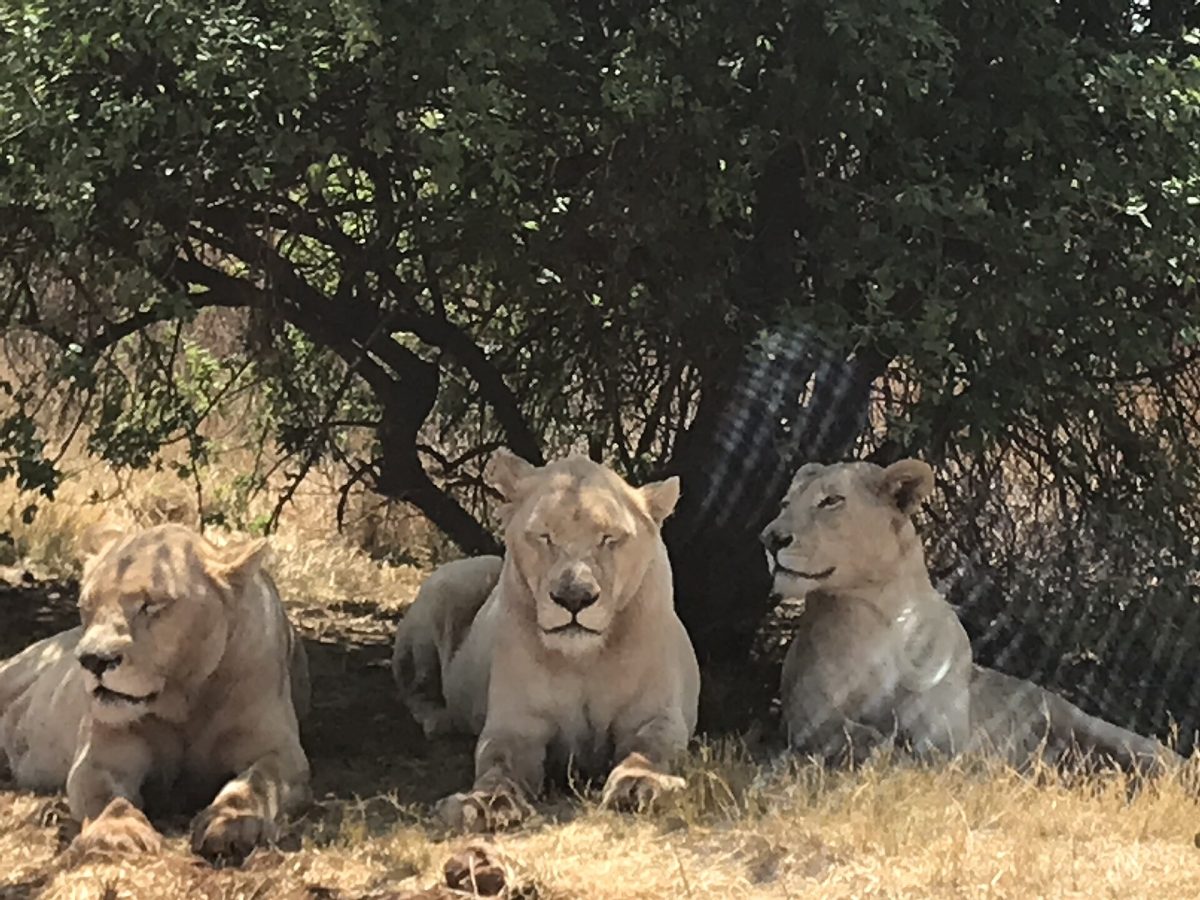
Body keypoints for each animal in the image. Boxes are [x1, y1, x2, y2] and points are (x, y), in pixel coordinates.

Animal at [0, 522, 311, 859]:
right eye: (87, 607)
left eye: (150, 605)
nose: (92, 659)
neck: (185, 702)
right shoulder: (101, 757)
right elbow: (108, 798)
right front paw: (119, 832)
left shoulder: (280, 750)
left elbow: (256, 784)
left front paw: (233, 823)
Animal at [391, 449, 700, 831]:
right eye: (544, 535)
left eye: (609, 538)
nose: (574, 597)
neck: (584, 660)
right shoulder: (516, 726)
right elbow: (497, 764)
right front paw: (485, 803)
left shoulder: (656, 715)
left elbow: (649, 750)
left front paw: (642, 785)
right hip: (454, 582)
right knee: (414, 689)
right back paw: (442, 721)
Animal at [760, 459, 1179, 773]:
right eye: (784, 504)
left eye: (831, 500)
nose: (770, 538)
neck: (883, 614)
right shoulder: (809, 712)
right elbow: (861, 738)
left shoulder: (943, 723)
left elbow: (932, 750)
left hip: (1085, 720)